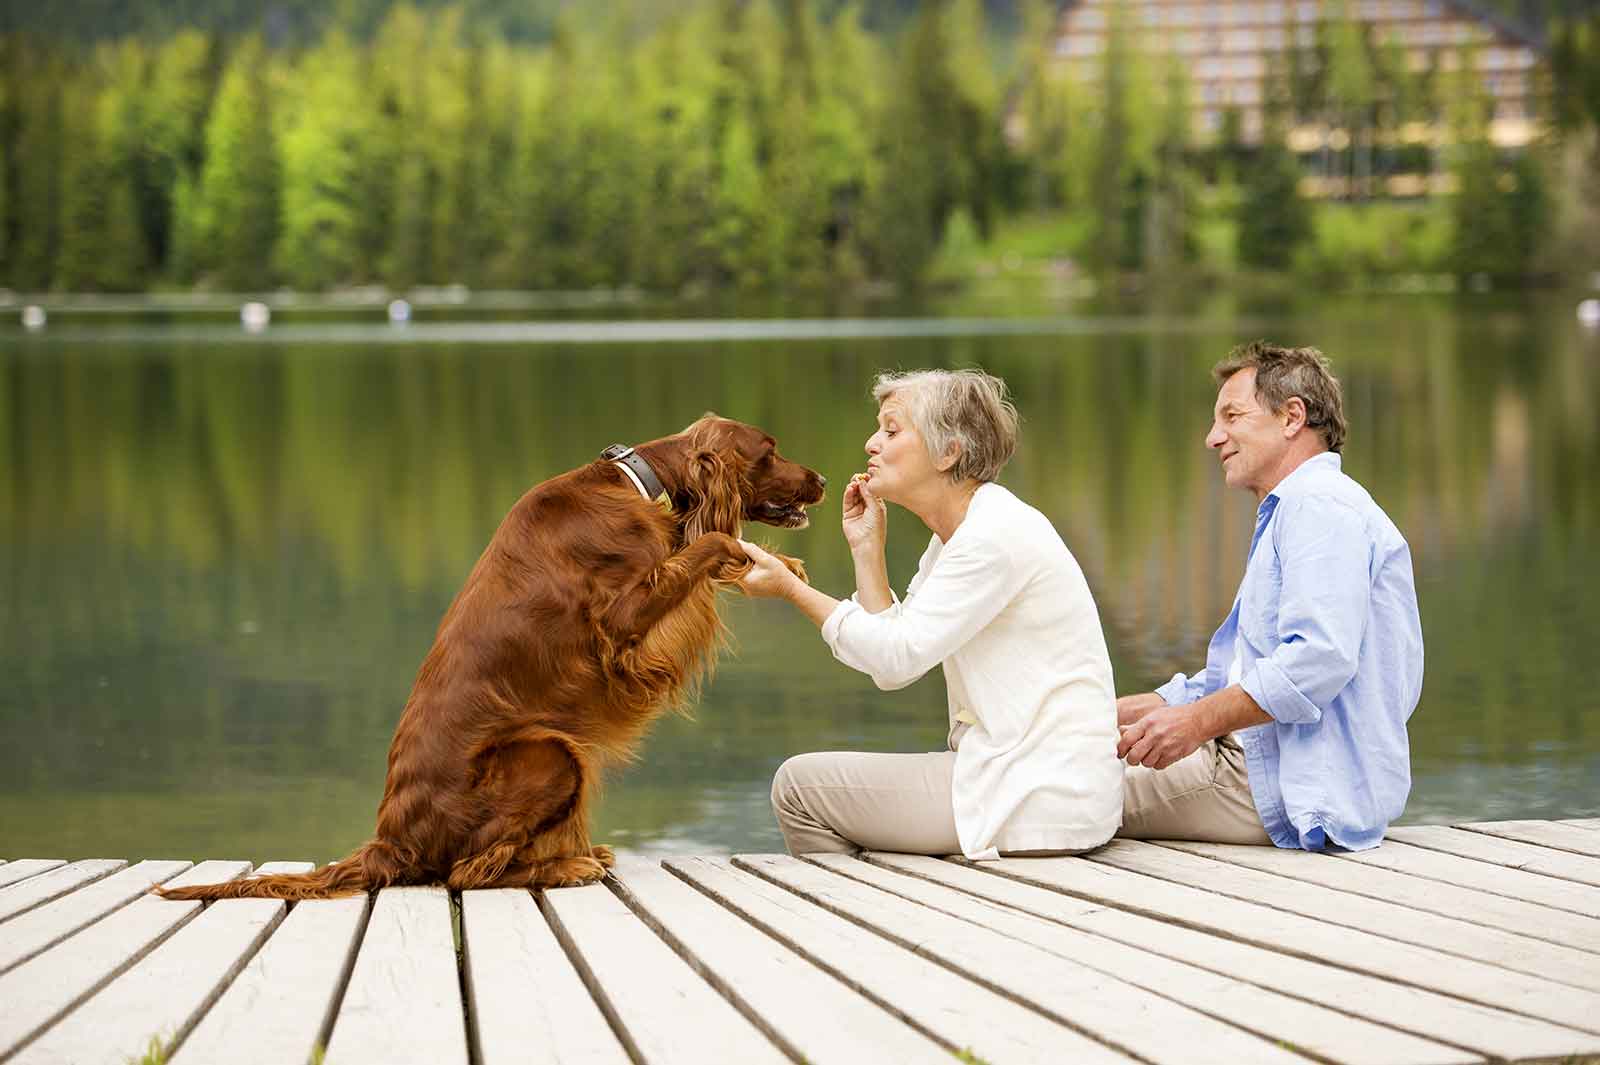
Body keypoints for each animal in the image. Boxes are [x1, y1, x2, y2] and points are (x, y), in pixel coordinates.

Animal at [159, 415, 825, 895]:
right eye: (769, 451)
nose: (819, 479)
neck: (642, 485)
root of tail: (390, 841)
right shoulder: (621, 622)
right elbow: (711, 542)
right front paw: (752, 557)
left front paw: (782, 566)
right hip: (554, 753)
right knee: (467, 873)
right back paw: (570, 865)